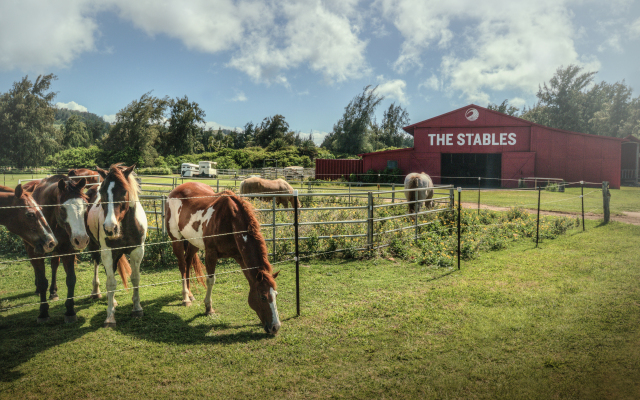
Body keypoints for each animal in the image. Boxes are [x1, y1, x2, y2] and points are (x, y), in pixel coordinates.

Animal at [26, 177, 90, 324]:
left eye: (85, 206)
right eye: (62, 207)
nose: (81, 239)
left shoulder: (68, 250)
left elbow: (71, 279)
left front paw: (70, 311)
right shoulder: (35, 253)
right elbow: (42, 281)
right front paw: (43, 313)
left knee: (54, 265)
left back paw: (53, 292)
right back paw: (38, 289)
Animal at [87, 163, 147, 328]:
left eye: (124, 191)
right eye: (102, 192)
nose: (109, 228)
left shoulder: (137, 251)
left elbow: (135, 278)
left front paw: (137, 309)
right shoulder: (107, 252)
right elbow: (111, 283)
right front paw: (110, 317)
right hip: (96, 247)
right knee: (98, 265)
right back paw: (96, 292)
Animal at [166, 184, 282, 334]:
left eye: (276, 295)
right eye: (263, 296)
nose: (275, 327)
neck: (230, 221)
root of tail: (175, 190)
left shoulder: (240, 257)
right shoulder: (211, 254)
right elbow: (210, 281)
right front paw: (208, 308)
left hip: (193, 242)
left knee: (187, 261)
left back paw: (190, 294)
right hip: (177, 240)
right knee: (182, 265)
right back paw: (185, 298)